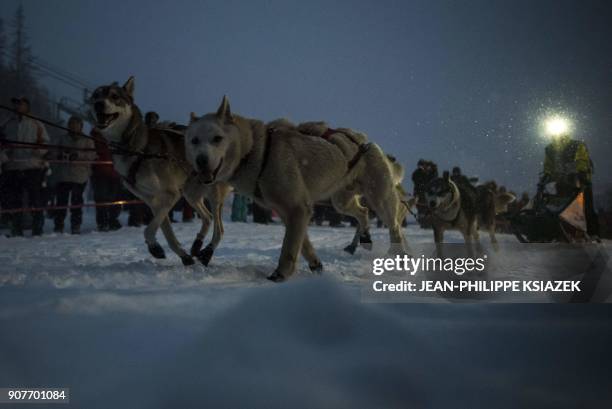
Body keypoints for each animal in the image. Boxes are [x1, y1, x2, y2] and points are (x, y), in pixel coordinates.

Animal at [184, 95, 408, 280]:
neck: (258, 151)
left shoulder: (297, 209)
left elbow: (289, 248)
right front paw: (316, 266)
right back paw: (363, 238)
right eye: (194, 141)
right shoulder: (290, 212)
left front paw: (280, 275)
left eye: (217, 138)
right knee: (364, 212)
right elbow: (304, 245)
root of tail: (367, 142)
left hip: (380, 199)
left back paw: (398, 255)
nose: (201, 161)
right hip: (341, 201)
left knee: (394, 226)